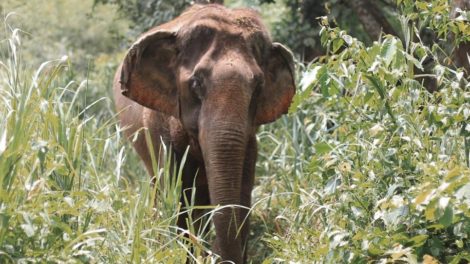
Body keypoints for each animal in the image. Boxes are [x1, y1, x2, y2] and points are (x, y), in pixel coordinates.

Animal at [114, 3, 296, 262]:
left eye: (258, 87)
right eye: (196, 84)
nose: (217, 255)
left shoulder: (250, 140)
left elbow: (242, 192)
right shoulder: (158, 124)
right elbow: (176, 190)